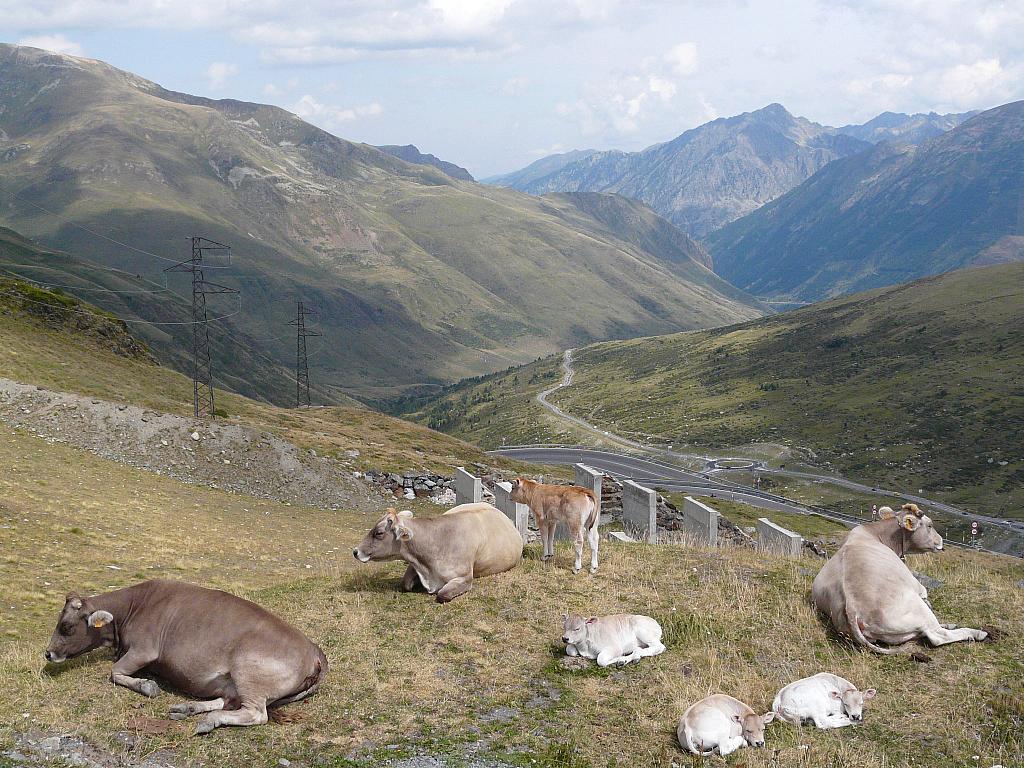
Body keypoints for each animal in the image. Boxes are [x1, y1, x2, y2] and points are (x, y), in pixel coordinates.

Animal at [811, 505, 987, 655]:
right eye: (929, 525)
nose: (941, 543)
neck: (875, 534)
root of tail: (852, 607)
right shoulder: (916, 584)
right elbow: (925, 594)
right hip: (916, 607)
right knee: (937, 635)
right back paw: (976, 633)